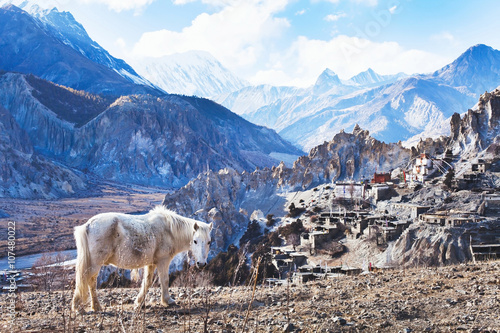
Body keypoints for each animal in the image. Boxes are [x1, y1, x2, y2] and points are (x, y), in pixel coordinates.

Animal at [70, 205, 211, 312]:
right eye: (195, 241)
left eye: (209, 242)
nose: (201, 264)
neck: (169, 230)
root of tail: (88, 225)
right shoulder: (163, 261)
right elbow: (164, 280)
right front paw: (168, 300)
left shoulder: (151, 263)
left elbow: (147, 282)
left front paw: (139, 302)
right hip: (95, 263)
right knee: (87, 280)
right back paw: (80, 307)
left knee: (90, 281)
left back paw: (95, 306)